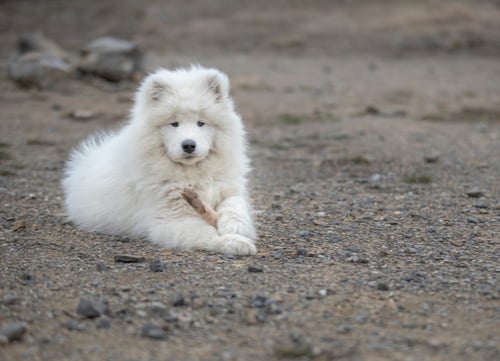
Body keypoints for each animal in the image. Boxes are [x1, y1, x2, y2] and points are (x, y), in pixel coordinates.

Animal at [62, 66, 258, 255]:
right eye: (174, 124)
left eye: (201, 123)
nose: (188, 145)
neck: (192, 173)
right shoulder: (171, 218)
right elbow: (205, 233)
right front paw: (234, 242)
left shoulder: (229, 188)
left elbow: (234, 204)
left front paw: (235, 227)